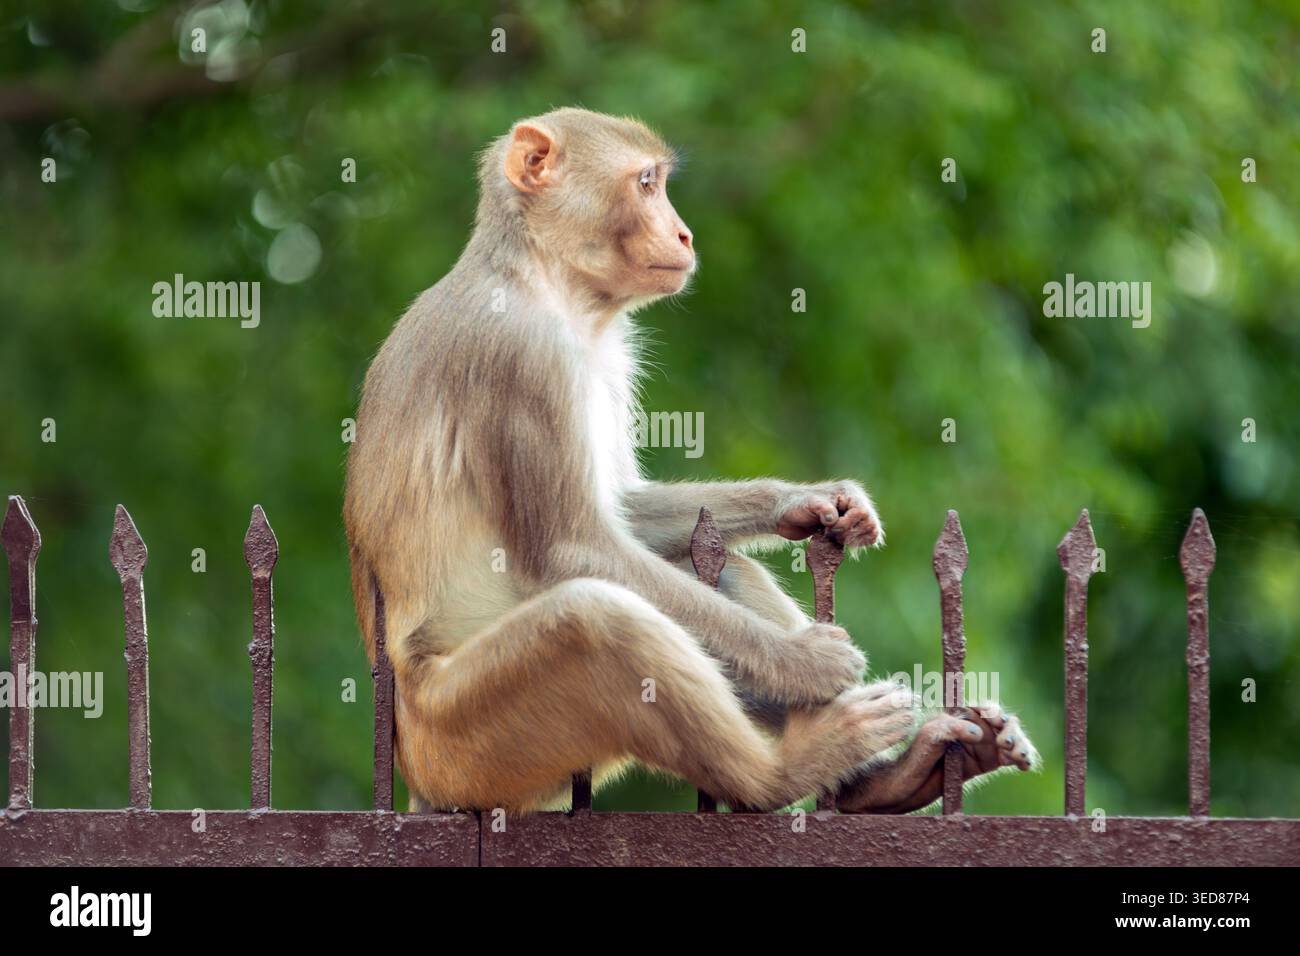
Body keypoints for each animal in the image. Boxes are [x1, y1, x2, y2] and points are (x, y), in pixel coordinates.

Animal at [343, 107, 1035, 815]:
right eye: (646, 183)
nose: (683, 232)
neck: (548, 284)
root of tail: (416, 771)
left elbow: (621, 513)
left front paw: (805, 501)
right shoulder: (523, 352)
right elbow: (573, 546)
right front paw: (801, 664)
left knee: (711, 571)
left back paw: (886, 781)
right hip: (466, 742)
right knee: (598, 619)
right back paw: (785, 771)